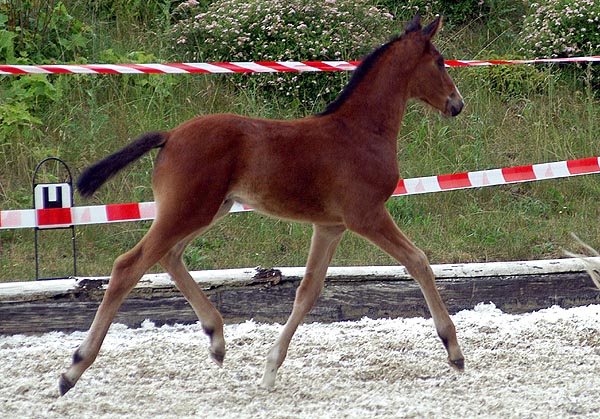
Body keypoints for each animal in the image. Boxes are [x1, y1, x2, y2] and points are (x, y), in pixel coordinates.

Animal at [59, 14, 464, 396]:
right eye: (440, 62)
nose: (457, 104)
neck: (360, 131)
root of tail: (171, 135)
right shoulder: (366, 215)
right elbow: (418, 261)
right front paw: (454, 352)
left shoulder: (330, 226)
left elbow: (308, 291)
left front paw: (270, 368)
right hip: (189, 210)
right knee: (129, 265)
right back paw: (74, 368)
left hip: (207, 209)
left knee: (170, 256)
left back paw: (216, 338)